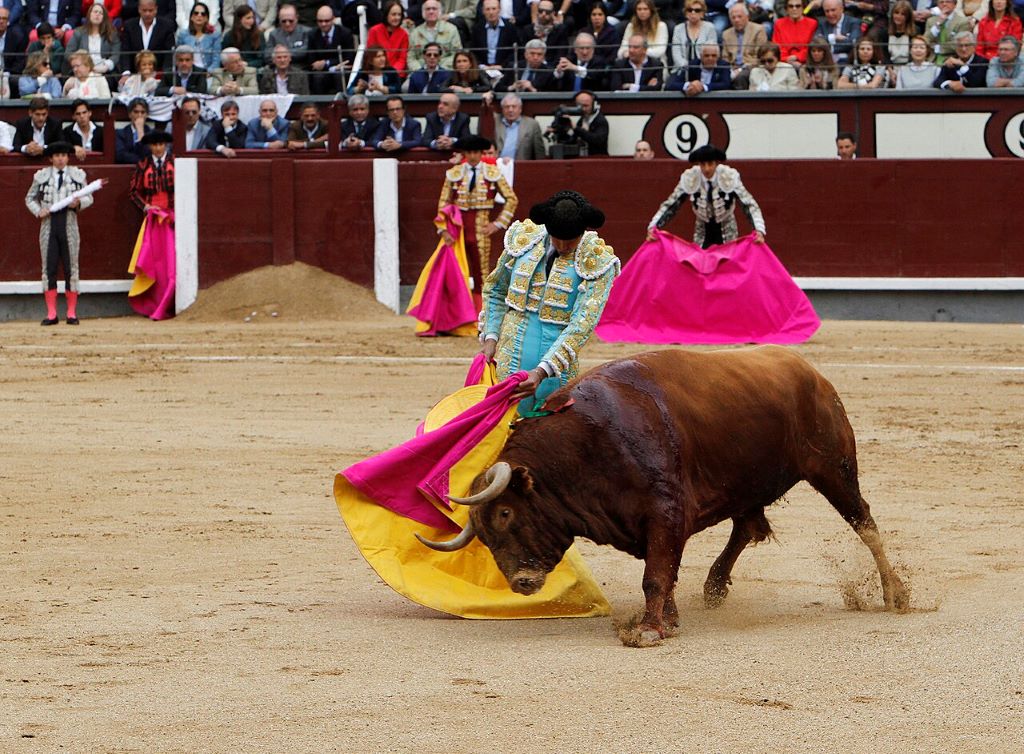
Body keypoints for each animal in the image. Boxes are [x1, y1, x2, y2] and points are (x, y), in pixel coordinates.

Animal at [417, 346, 909, 643]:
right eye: (482, 533)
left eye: (504, 513)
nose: (520, 583)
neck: (586, 446)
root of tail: (809, 370)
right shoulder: (658, 522)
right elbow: (666, 569)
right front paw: (667, 620)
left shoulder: (665, 512)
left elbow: (656, 573)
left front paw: (650, 630)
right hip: (748, 482)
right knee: (748, 526)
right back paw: (714, 586)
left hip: (835, 467)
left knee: (865, 523)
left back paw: (896, 596)